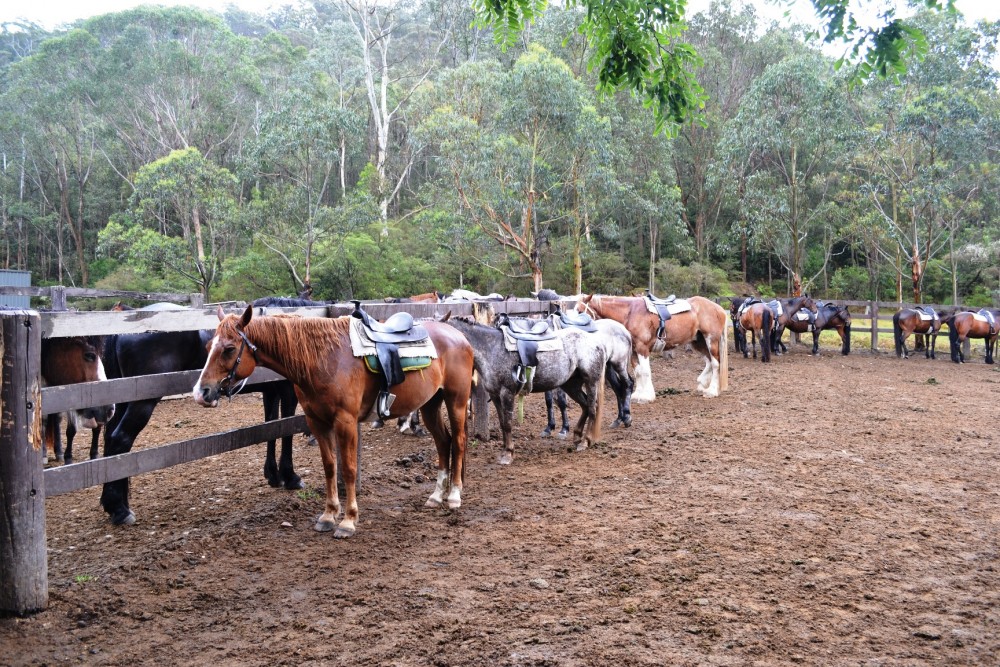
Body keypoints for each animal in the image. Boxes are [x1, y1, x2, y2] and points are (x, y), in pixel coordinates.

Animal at [197, 306, 478, 540]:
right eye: (208, 346)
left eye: (229, 348)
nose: (201, 393)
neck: (324, 358)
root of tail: (459, 336)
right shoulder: (317, 422)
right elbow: (330, 467)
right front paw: (329, 515)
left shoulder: (346, 421)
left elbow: (349, 469)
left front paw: (348, 521)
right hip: (430, 404)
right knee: (443, 443)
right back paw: (436, 496)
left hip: (456, 402)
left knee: (459, 442)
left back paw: (454, 495)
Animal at [580, 296, 728, 402]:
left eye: (580, 311)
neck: (630, 313)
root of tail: (719, 309)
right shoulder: (634, 351)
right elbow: (638, 372)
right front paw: (637, 395)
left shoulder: (643, 348)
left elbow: (645, 372)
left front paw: (647, 396)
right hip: (699, 342)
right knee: (709, 361)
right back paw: (703, 384)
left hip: (711, 340)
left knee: (716, 363)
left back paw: (712, 391)